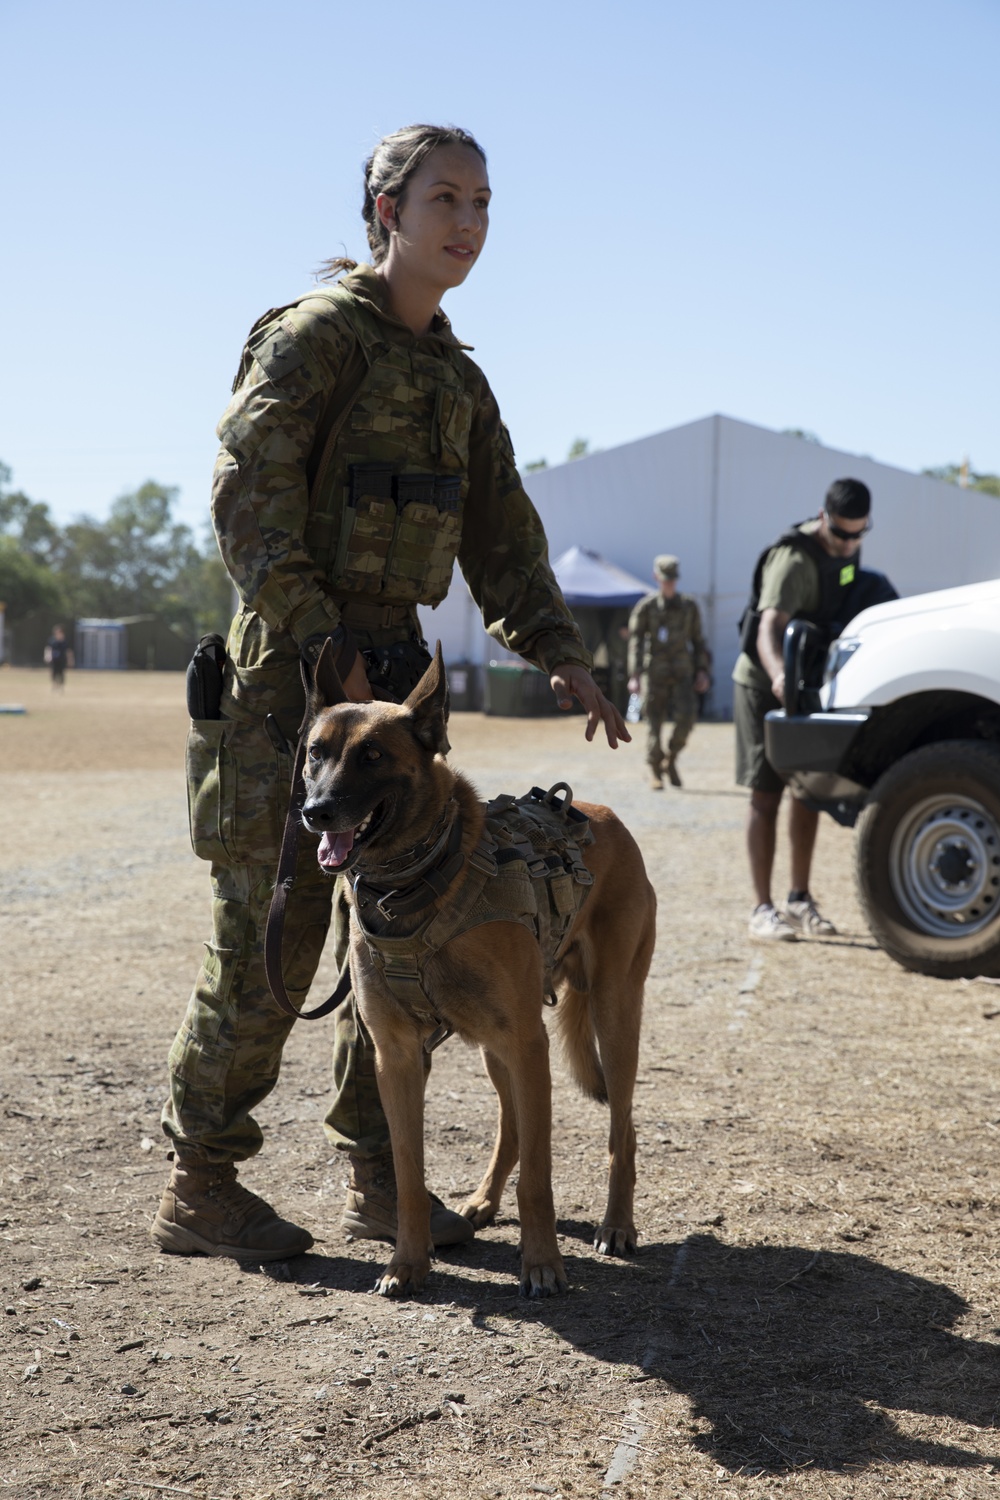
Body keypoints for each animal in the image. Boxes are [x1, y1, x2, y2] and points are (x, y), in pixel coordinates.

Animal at [301, 645, 653, 1302]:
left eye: (373, 755)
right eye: (316, 752)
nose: (315, 812)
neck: (413, 886)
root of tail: (607, 816)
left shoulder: (528, 1044)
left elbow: (539, 1176)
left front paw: (542, 1264)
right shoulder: (397, 1058)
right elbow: (410, 1174)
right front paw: (407, 1262)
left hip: (610, 1019)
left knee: (622, 1131)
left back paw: (617, 1224)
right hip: (496, 1048)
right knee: (512, 1128)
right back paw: (483, 1201)